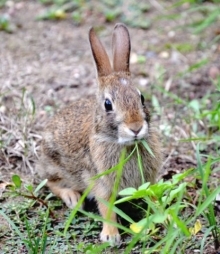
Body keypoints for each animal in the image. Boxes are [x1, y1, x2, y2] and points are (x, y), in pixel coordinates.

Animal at [37, 22, 162, 245]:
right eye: (107, 104)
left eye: (141, 98)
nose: (136, 127)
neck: (124, 144)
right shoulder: (101, 182)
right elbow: (107, 208)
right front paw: (111, 236)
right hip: (55, 164)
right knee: (50, 183)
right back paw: (72, 198)